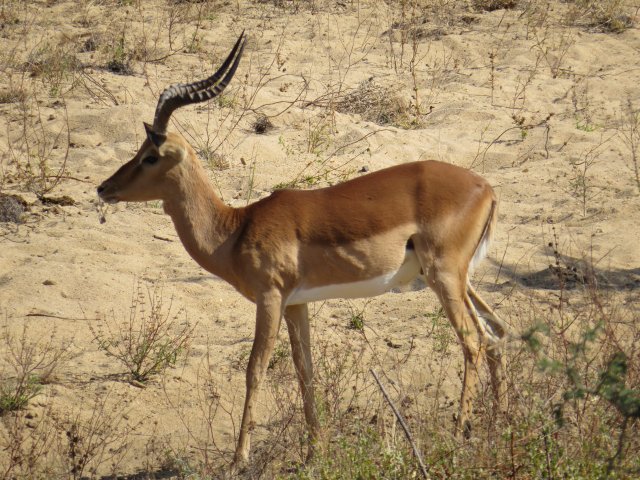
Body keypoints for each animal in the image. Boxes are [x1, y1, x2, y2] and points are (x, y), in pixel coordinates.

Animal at [97, 31, 509, 467]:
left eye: (149, 156)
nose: (104, 188)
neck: (236, 228)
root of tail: (485, 187)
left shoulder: (271, 298)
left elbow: (255, 369)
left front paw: (239, 459)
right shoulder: (298, 304)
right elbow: (304, 370)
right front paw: (315, 452)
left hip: (443, 277)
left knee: (473, 341)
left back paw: (459, 434)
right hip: (458, 279)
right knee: (496, 333)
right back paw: (499, 426)